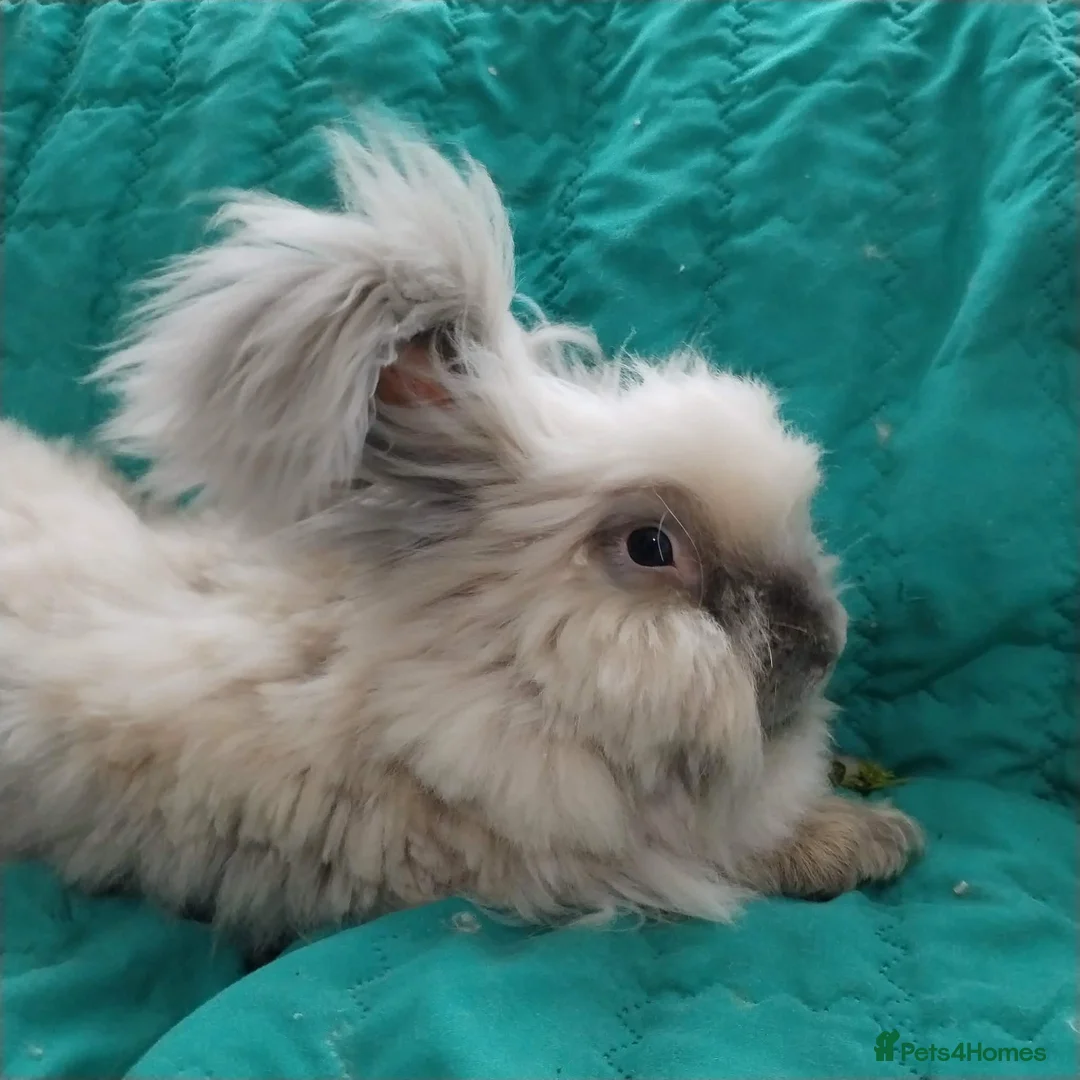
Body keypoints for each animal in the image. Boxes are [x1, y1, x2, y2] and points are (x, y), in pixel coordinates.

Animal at [0, 118, 922, 952]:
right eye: (650, 548)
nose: (825, 644)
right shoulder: (535, 862)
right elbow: (715, 858)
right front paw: (865, 840)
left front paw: (876, 830)